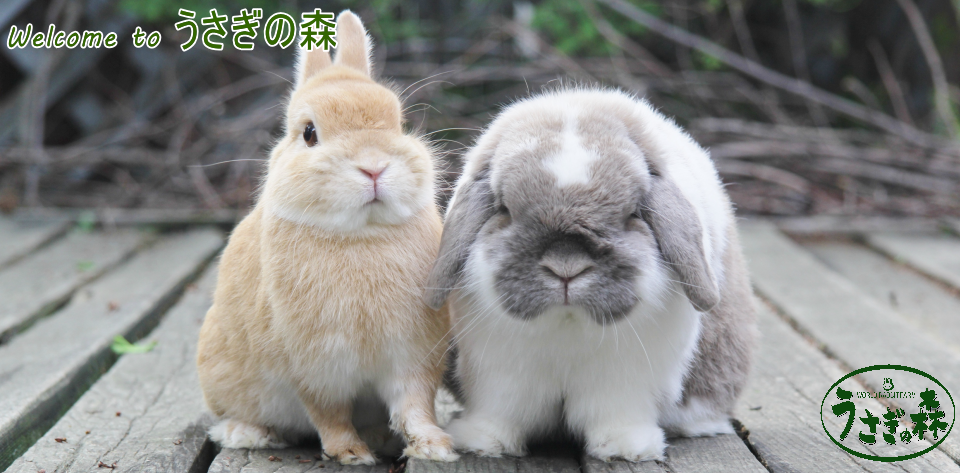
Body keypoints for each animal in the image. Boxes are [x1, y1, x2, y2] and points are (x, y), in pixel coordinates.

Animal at [197, 10, 460, 464]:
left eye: (399, 123)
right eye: (309, 133)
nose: (374, 167)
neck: (361, 236)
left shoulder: (413, 357)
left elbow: (415, 404)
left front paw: (434, 447)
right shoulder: (315, 369)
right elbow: (329, 414)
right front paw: (351, 453)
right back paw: (248, 434)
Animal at [428, 86, 756, 460]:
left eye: (633, 213)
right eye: (504, 209)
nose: (566, 269)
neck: (567, 324)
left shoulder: (626, 379)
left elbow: (617, 411)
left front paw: (625, 448)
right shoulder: (499, 374)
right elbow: (501, 410)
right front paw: (483, 442)